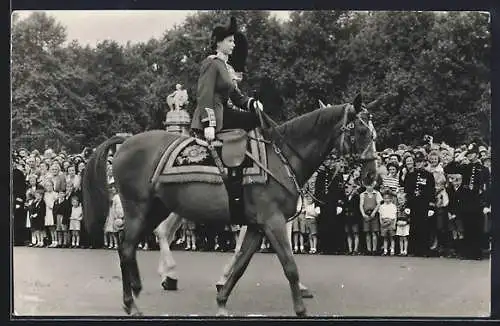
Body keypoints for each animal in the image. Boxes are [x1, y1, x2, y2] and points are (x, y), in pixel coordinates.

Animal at [83, 93, 376, 318]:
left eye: (373, 133)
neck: (282, 156)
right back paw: (133, 300)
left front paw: (222, 300)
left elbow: (241, 264)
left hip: (157, 208)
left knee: (140, 241)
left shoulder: (258, 226)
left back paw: (144, 286)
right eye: (362, 132)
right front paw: (301, 308)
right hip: (138, 209)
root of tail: (126, 141)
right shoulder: (272, 221)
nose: (372, 175)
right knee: (127, 247)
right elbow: (289, 265)